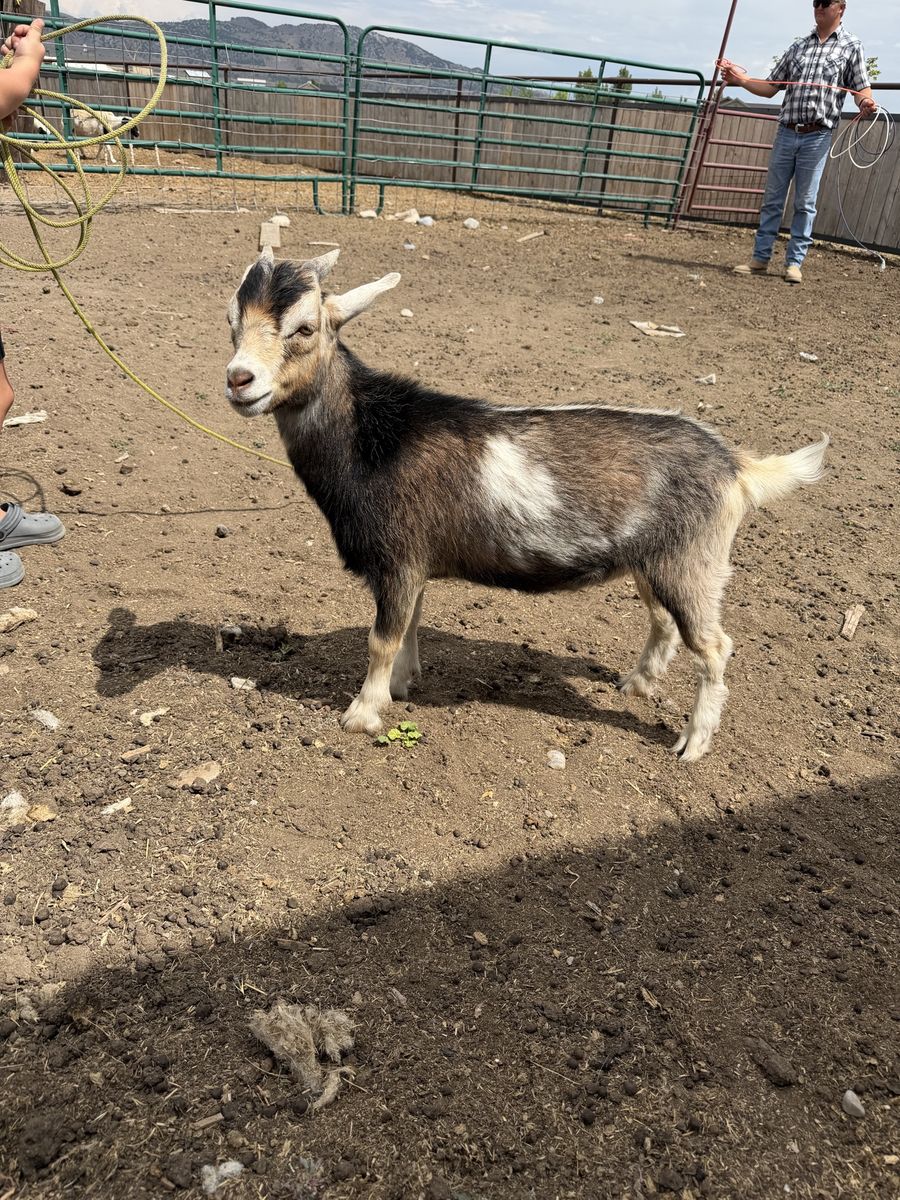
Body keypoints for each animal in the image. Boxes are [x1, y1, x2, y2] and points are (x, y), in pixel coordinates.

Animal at [224, 248, 828, 761]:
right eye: (232, 322)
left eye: (304, 328)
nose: (239, 379)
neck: (374, 437)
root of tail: (737, 467)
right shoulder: (414, 565)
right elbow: (411, 627)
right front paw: (401, 685)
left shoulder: (398, 558)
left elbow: (382, 638)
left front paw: (362, 713)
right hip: (655, 561)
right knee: (664, 622)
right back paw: (635, 684)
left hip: (693, 564)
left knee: (716, 646)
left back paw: (692, 744)